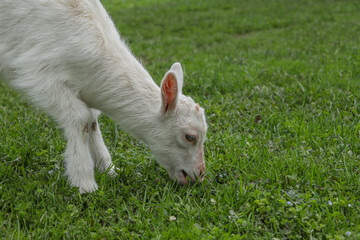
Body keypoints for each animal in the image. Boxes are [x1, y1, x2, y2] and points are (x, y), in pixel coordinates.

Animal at [0, 0, 207, 192]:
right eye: (190, 137)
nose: (200, 174)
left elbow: (91, 119)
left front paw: (109, 170)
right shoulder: (37, 74)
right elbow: (80, 117)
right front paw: (84, 183)